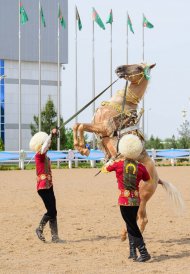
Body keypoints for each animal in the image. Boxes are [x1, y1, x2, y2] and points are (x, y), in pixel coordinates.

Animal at [72, 62, 184, 235]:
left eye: (139, 67)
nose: (118, 68)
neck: (119, 103)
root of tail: (157, 179)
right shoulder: (97, 127)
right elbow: (77, 125)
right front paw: (81, 147)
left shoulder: (104, 127)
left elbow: (81, 125)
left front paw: (83, 148)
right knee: (138, 217)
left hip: (142, 196)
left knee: (142, 218)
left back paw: (126, 235)